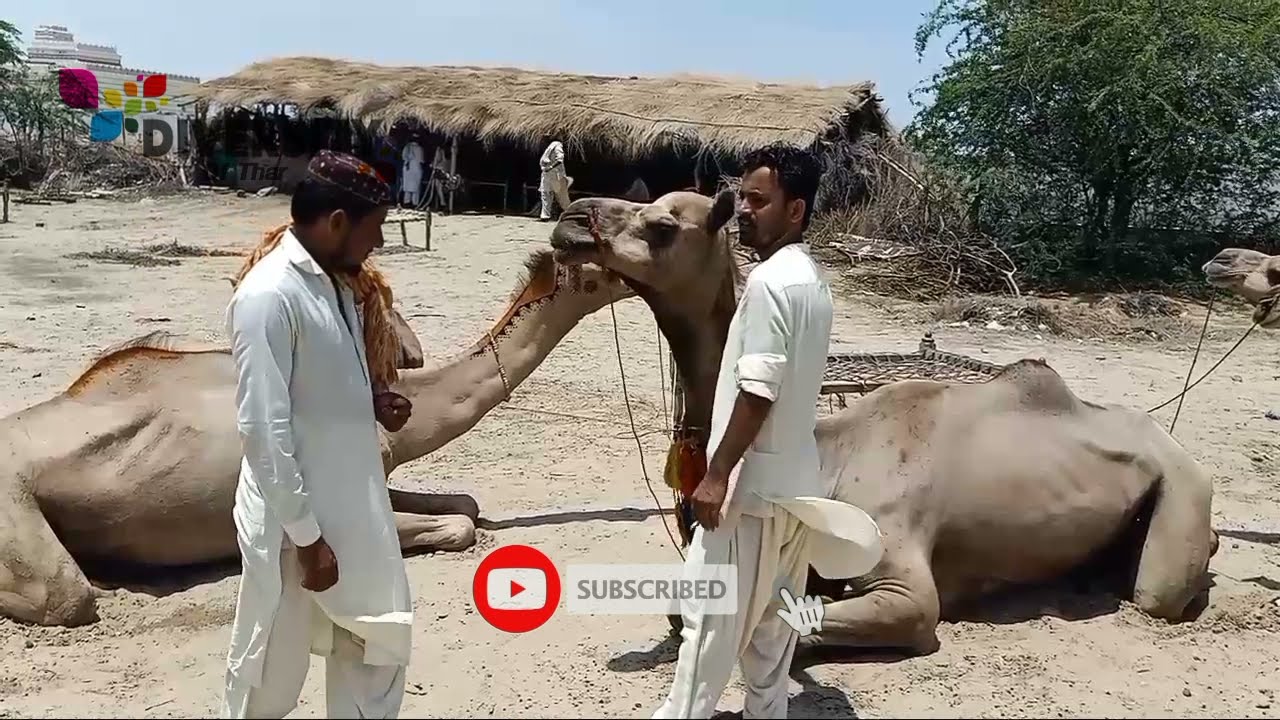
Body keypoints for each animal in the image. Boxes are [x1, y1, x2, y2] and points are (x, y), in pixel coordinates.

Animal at [548, 190, 1219, 655]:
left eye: (662, 225)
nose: (571, 216)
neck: (826, 459)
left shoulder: (907, 586)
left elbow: (807, 623)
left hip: (1183, 487)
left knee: (1159, 591)